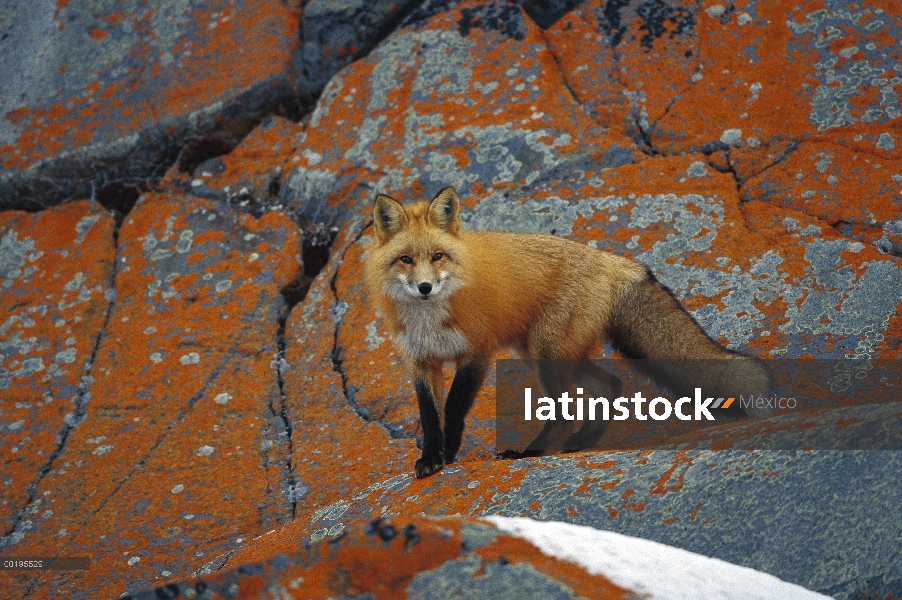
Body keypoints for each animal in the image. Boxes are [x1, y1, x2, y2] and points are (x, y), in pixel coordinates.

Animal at [364, 188, 772, 478]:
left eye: (437, 256)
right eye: (405, 260)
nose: (425, 288)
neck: (430, 317)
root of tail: (611, 259)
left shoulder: (476, 353)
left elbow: (452, 410)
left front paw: (448, 455)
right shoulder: (421, 361)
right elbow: (429, 417)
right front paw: (431, 460)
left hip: (546, 352)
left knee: (565, 410)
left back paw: (530, 452)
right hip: (543, 352)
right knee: (610, 385)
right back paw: (583, 441)